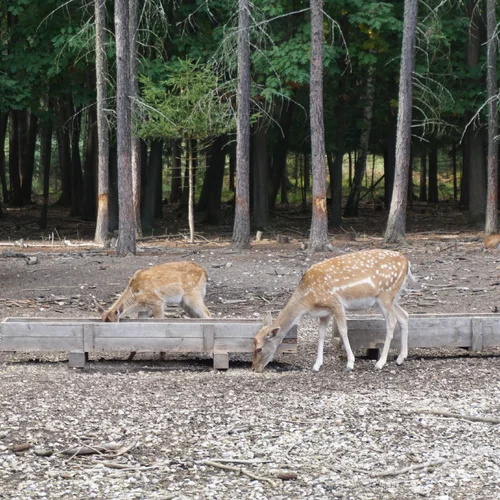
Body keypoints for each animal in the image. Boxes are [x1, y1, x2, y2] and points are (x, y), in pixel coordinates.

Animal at [254, 249, 414, 372]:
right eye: (253, 343)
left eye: (259, 349)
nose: (255, 368)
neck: (308, 300)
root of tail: (407, 262)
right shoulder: (325, 312)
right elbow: (321, 335)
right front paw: (317, 365)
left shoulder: (336, 303)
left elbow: (343, 331)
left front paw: (350, 363)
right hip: (391, 298)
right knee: (404, 316)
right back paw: (401, 358)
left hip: (386, 294)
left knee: (391, 322)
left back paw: (380, 363)